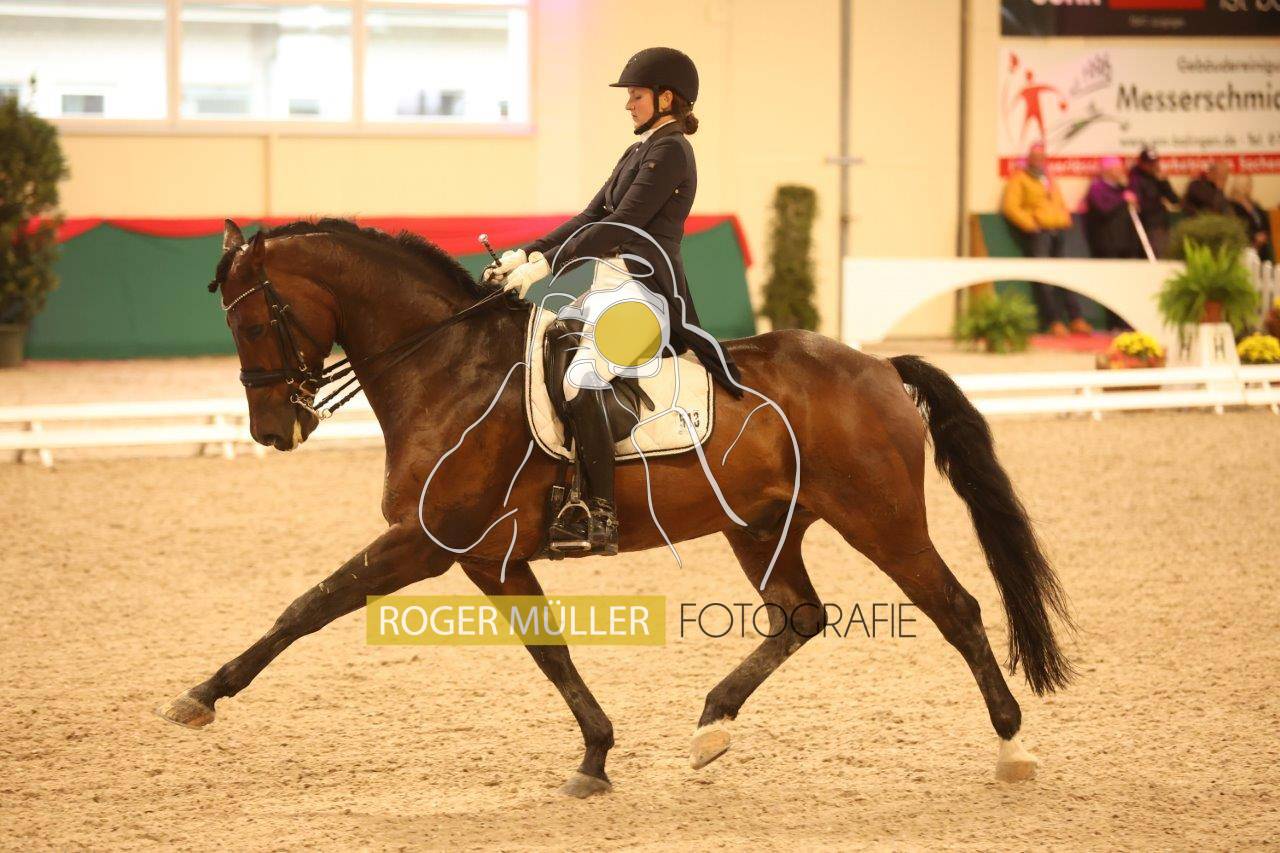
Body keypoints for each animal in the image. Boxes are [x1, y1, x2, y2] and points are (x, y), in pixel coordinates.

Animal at [157, 217, 1076, 798]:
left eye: (254, 322)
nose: (274, 430)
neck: (446, 367)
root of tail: (880, 367)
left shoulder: (428, 540)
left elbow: (309, 605)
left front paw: (202, 694)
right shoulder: (488, 557)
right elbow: (551, 651)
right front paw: (596, 757)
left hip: (879, 518)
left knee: (955, 608)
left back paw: (1014, 746)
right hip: (761, 526)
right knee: (800, 616)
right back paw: (710, 727)